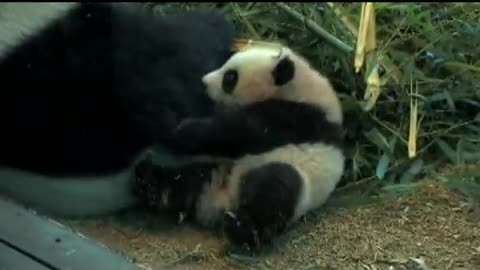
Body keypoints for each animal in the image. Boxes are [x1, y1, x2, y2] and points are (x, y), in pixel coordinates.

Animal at [135, 41, 344, 249]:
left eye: (230, 77)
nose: (204, 83)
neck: (298, 87)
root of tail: (219, 202)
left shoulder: (295, 118)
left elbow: (231, 132)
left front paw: (173, 127)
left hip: (295, 180)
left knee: (275, 189)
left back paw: (241, 229)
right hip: (215, 168)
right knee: (188, 178)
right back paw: (153, 185)